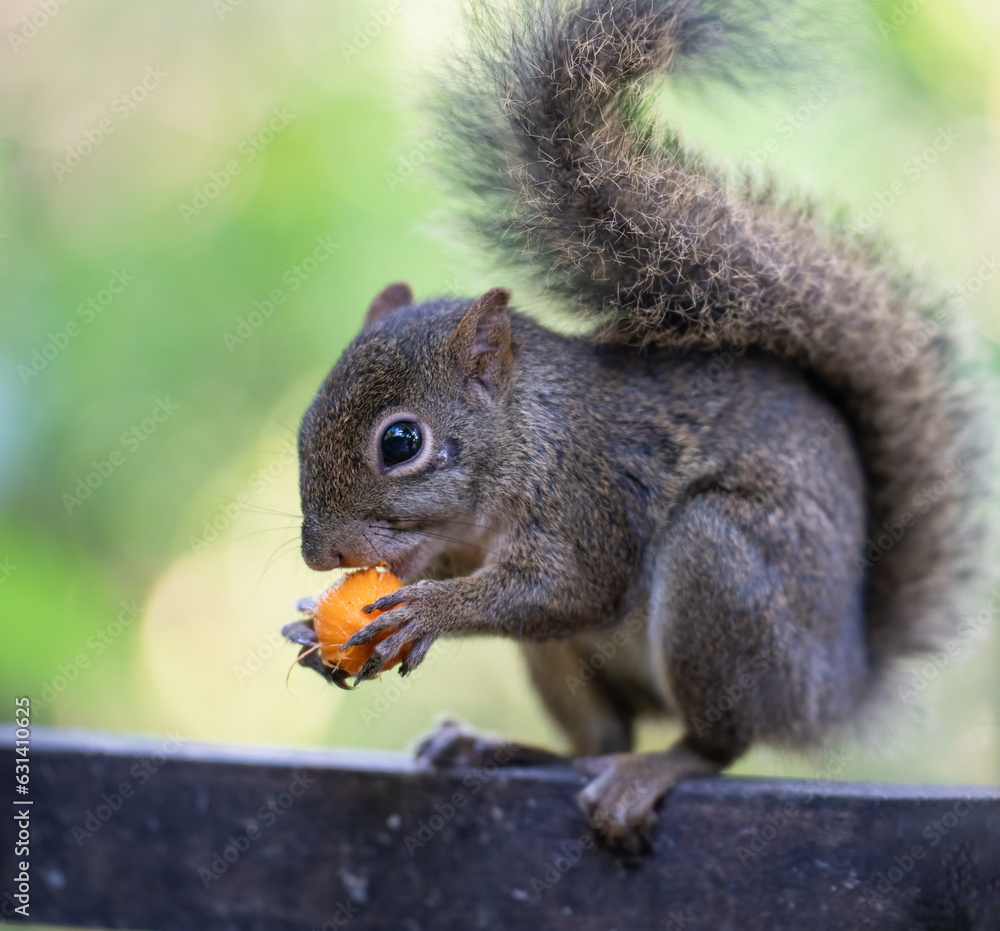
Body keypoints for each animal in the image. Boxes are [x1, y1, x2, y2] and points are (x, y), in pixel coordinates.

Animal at [289, 0, 980, 848]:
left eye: (400, 442)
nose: (320, 554)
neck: (527, 430)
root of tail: (837, 686)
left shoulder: (588, 491)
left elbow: (574, 584)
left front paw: (428, 611)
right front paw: (313, 626)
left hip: (722, 578)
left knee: (713, 742)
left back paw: (651, 770)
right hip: (566, 662)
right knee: (598, 737)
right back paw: (495, 748)